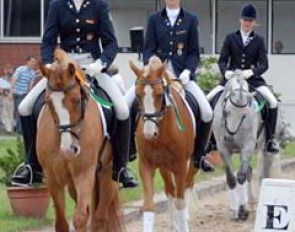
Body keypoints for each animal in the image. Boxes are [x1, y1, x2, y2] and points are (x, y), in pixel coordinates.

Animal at [36, 49, 122, 232]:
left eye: (76, 100)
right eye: (48, 102)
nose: (68, 150)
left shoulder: (85, 172)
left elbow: (81, 218)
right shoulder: (52, 177)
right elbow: (61, 222)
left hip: (107, 172)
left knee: (99, 217)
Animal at [130, 56, 198, 232]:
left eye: (160, 94)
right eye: (137, 95)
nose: (149, 134)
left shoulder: (181, 166)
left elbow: (181, 201)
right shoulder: (146, 165)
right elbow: (149, 206)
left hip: (192, 164)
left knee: (187, 187)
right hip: (165, 168)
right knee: (170, 191)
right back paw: (174, 224)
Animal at [212, 70, 280, 221]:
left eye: (244, 115)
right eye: (226, 111)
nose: (229, 137)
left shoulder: (247, 147)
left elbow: (241, 176)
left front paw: (242, 211)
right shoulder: (223, 149)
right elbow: (232, 179)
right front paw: (235, 209)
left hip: (265, 150)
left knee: (263, 175)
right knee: (249, 171)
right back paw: (251, 202)